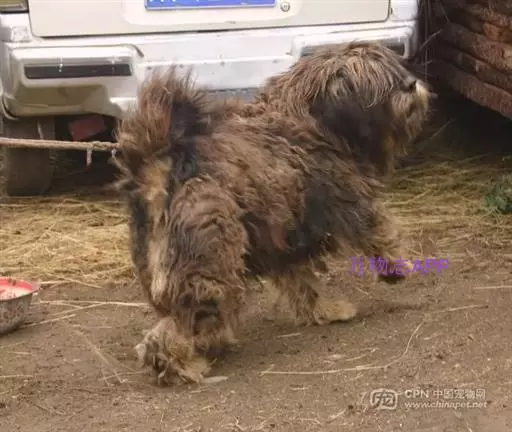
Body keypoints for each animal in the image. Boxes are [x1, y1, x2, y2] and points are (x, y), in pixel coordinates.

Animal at [114, 42, 431, 385]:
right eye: (376, 81)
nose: (411, 84)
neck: (312, 120)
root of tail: (163, 167)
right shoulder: (348, 200)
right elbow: (379, 233)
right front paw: (396, 267)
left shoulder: (281, 235)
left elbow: (301, 282)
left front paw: (325, 311)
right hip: (207, 263)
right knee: (172, 330)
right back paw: (183, 366)